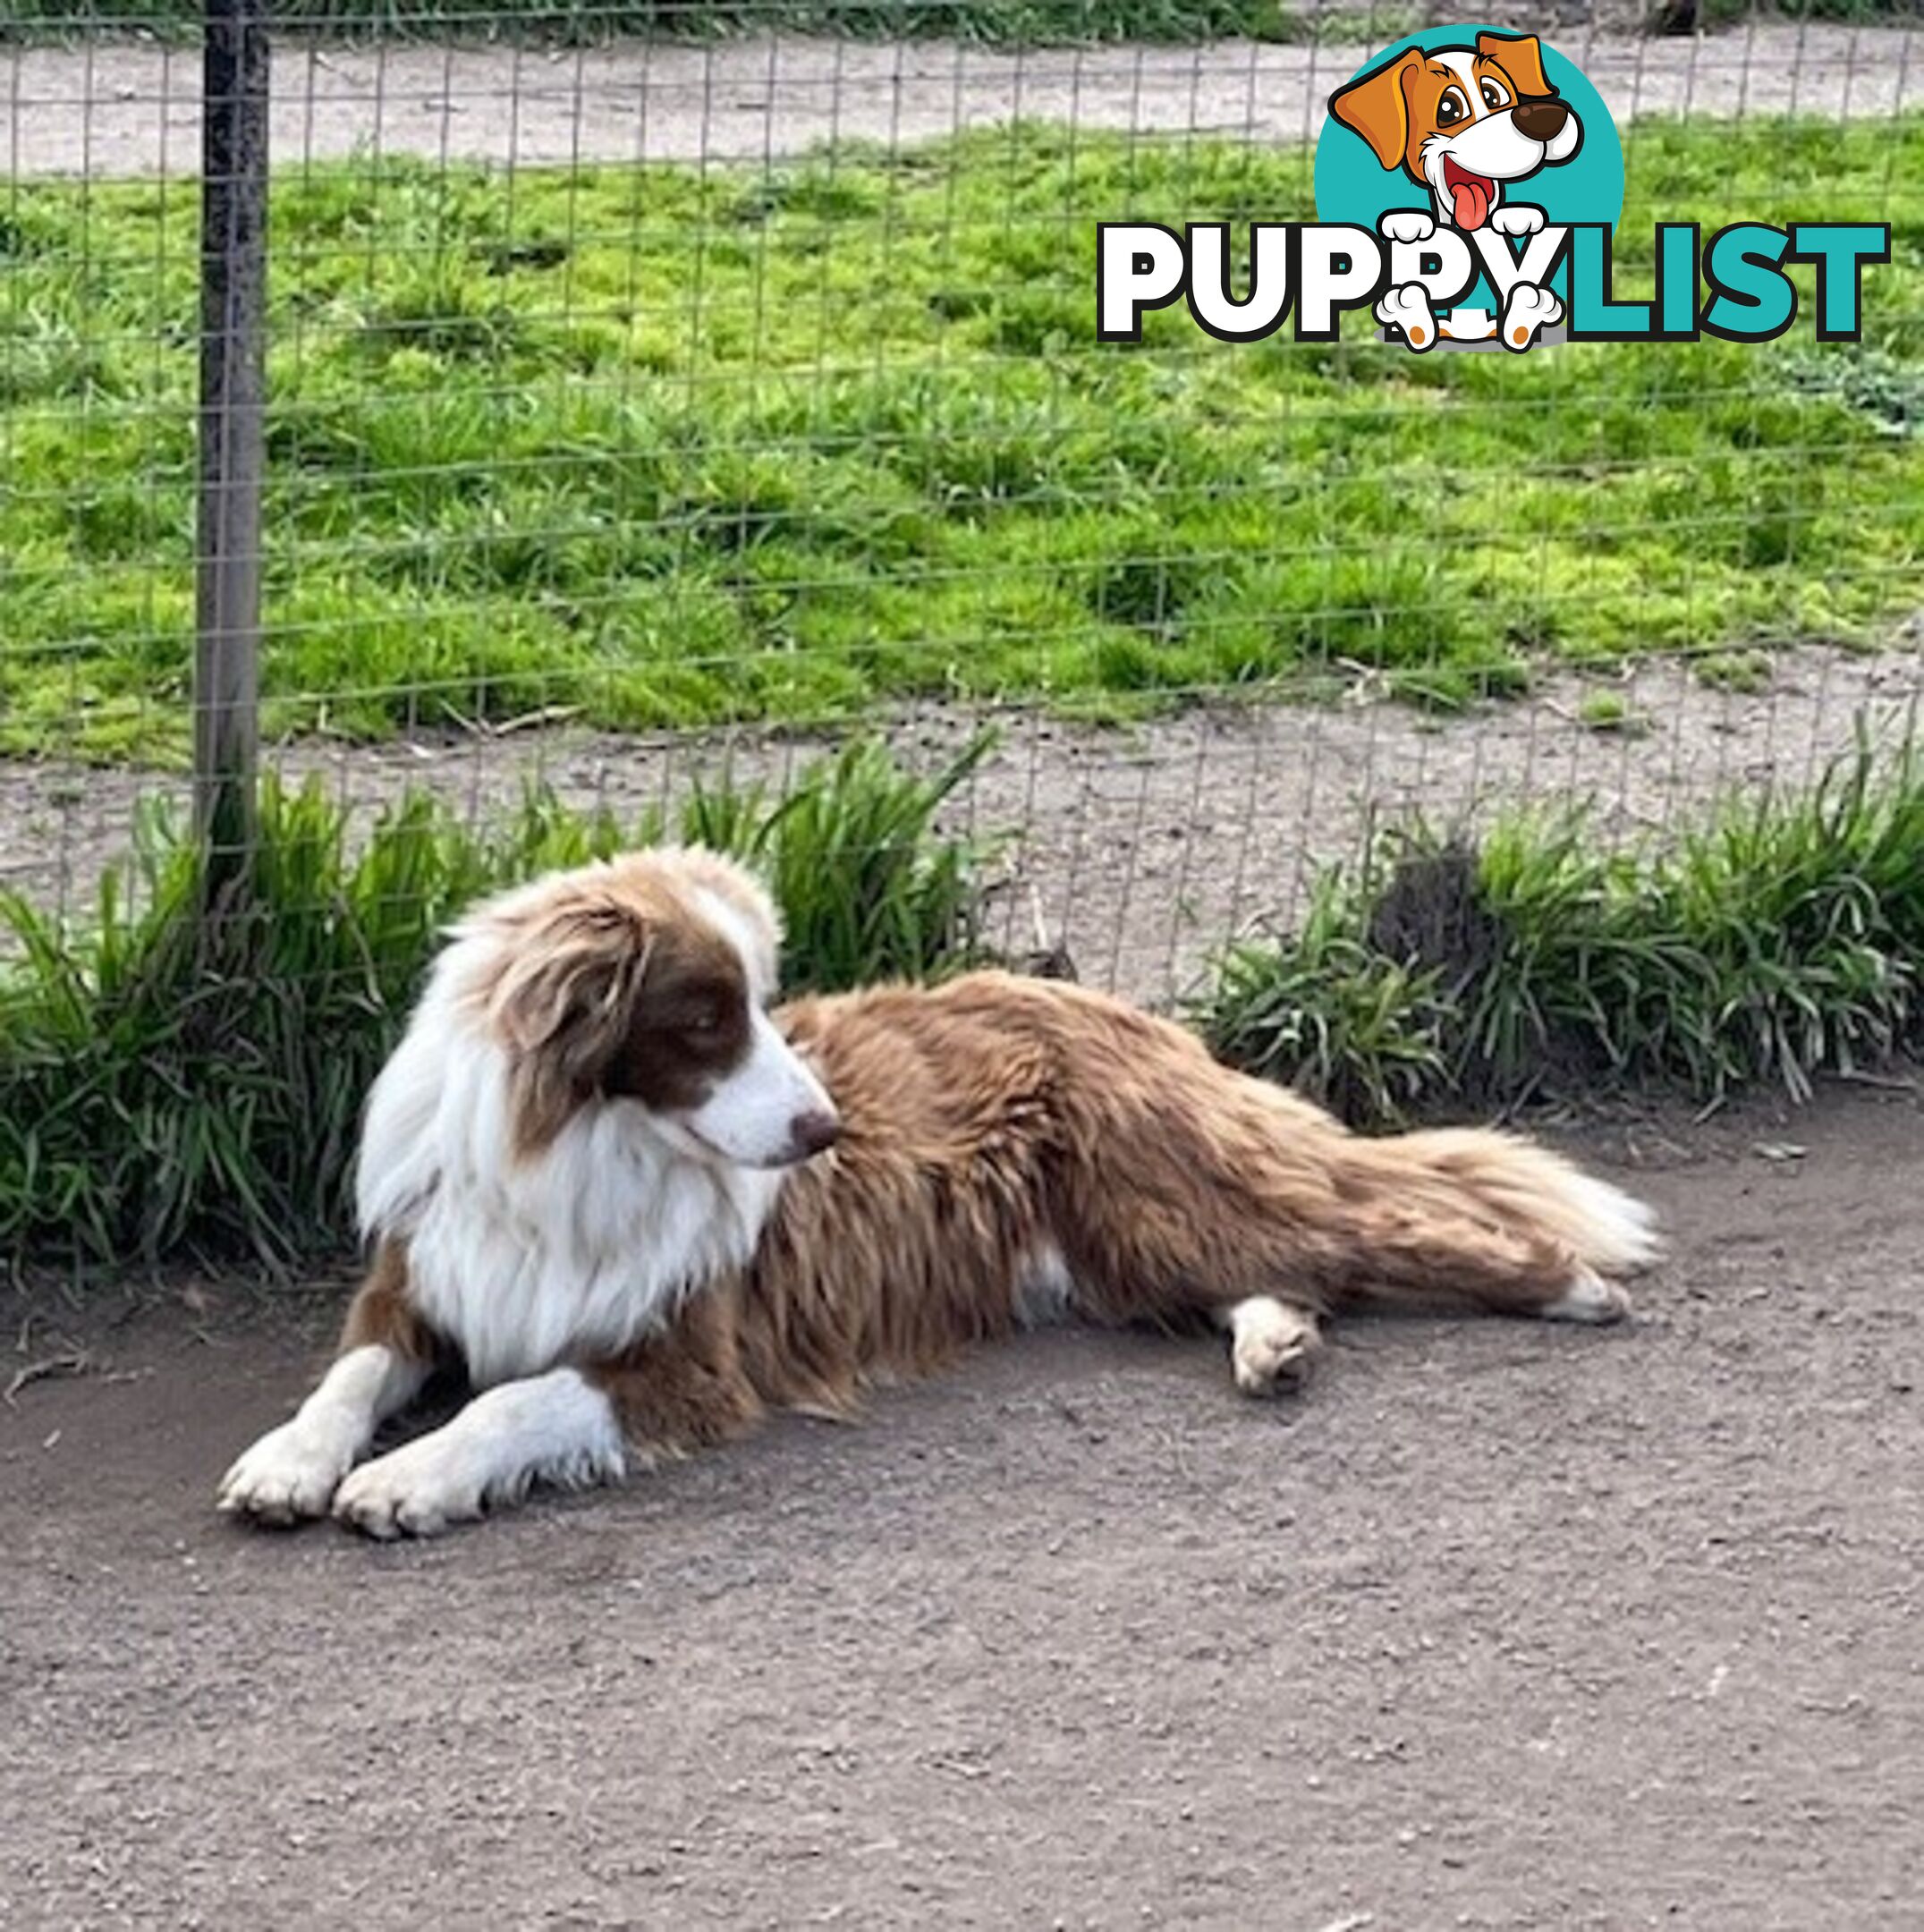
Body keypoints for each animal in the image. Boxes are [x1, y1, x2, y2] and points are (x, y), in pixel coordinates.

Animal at [210, 846, 1653, 1538]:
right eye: (703, 1017)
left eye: (764, 1001)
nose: (824, 1128)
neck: (580, 1150)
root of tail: (1116, 1007)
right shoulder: (421, 1281)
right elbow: (347, 1378)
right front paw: (289, 1461)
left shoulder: (689, 1361)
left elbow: (513, 1399)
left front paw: (411, 1481)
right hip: (1129, 1247)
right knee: (1281, 1280)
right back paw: (1275, 1345)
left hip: (1166, 1200)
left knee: (1395, 1226)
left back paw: (1571, 1288)